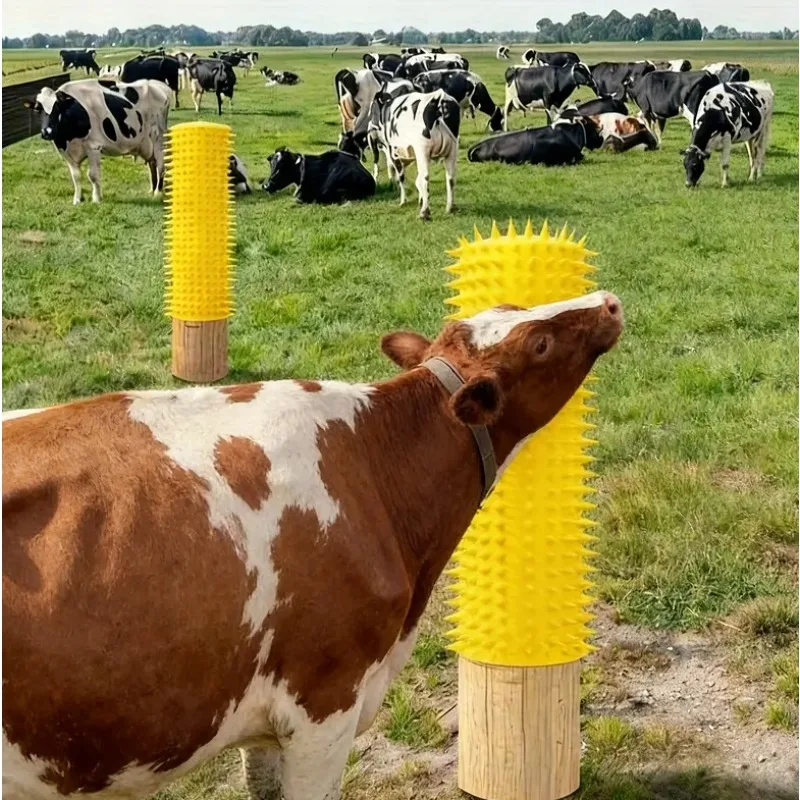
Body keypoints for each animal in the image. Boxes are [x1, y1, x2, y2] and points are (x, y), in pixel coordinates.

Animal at [22, 79, 170, 205]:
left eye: (57, 107)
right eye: (37, 109)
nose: (46, 132)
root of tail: (158, 85)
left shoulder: (93, 147)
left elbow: (92, 175)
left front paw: (96, 199)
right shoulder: (66, 151)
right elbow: (76, 176)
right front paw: (78, 199)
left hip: (158, 136)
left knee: (161, 164)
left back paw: (157, 192)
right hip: (147, 142)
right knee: (152, 163)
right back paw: (152, 189)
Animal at [367, 89, 460, 220]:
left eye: (371, 111)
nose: (368, 128)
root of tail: (437, 98)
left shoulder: (394, 153)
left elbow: (401, 178)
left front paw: (403, 201)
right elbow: (417, 179)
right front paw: (420, 200)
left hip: (423, 149)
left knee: (426, 178)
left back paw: (424, 212)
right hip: (452, 150)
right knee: (450, 178)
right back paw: (450, 208)